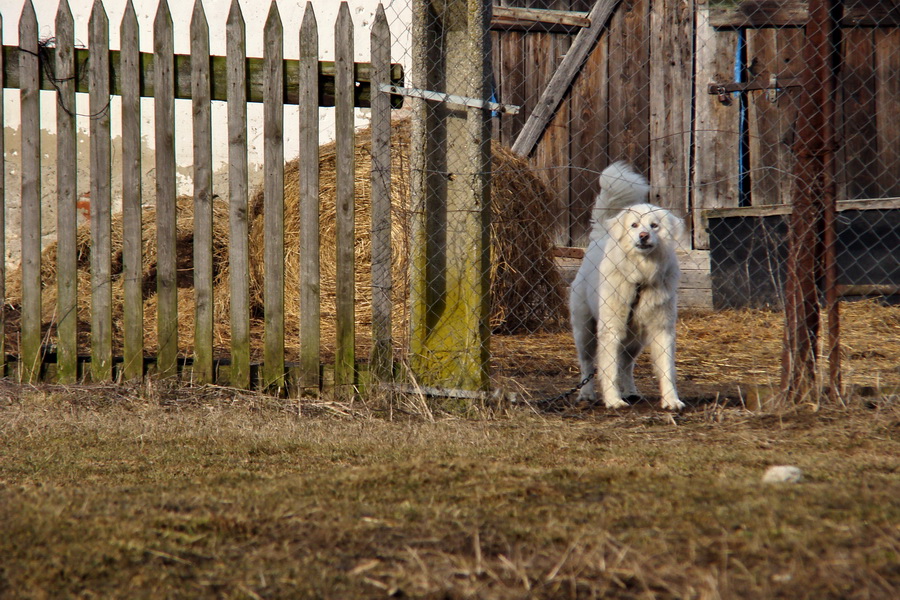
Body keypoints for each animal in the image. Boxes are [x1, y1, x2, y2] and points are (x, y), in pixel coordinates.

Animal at [572, 162, 684, 410]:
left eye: (654, 226)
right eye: (634, 225)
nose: (643, 235)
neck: (640, 277)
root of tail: (600, 236)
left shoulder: (662, 329)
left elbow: (667, 369)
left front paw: (671, 400)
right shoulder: (611, 328)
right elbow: (608, 369)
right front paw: (613, 400)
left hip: (635, 339)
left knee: (626, 365)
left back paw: (631, 392)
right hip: (585, 331)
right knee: (587, 363)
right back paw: (587, 394)